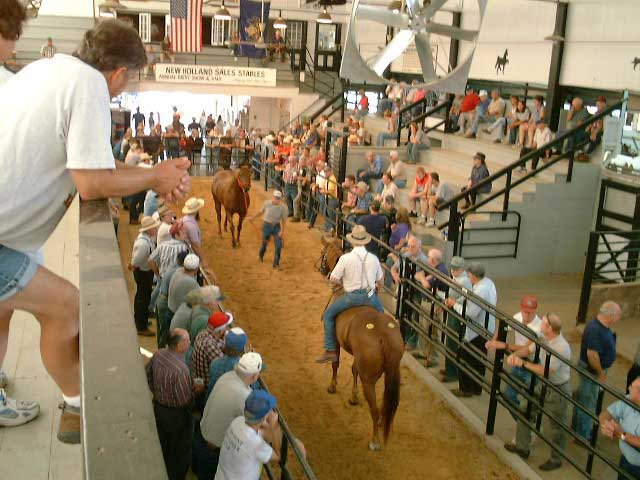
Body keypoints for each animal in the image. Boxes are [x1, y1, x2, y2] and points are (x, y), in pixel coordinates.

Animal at [320, 236, 404, 450]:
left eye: (323, 253)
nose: (321, 269)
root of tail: (383, 336)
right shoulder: (359, 358)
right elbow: (353, 370)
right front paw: (353, 397)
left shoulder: (336, 341)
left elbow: (335, 362)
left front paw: (332, 387)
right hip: (390, 373)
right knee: (386, 407)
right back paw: (383, 426)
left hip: (370, 380)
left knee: (374, 409)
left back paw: (375, 441)